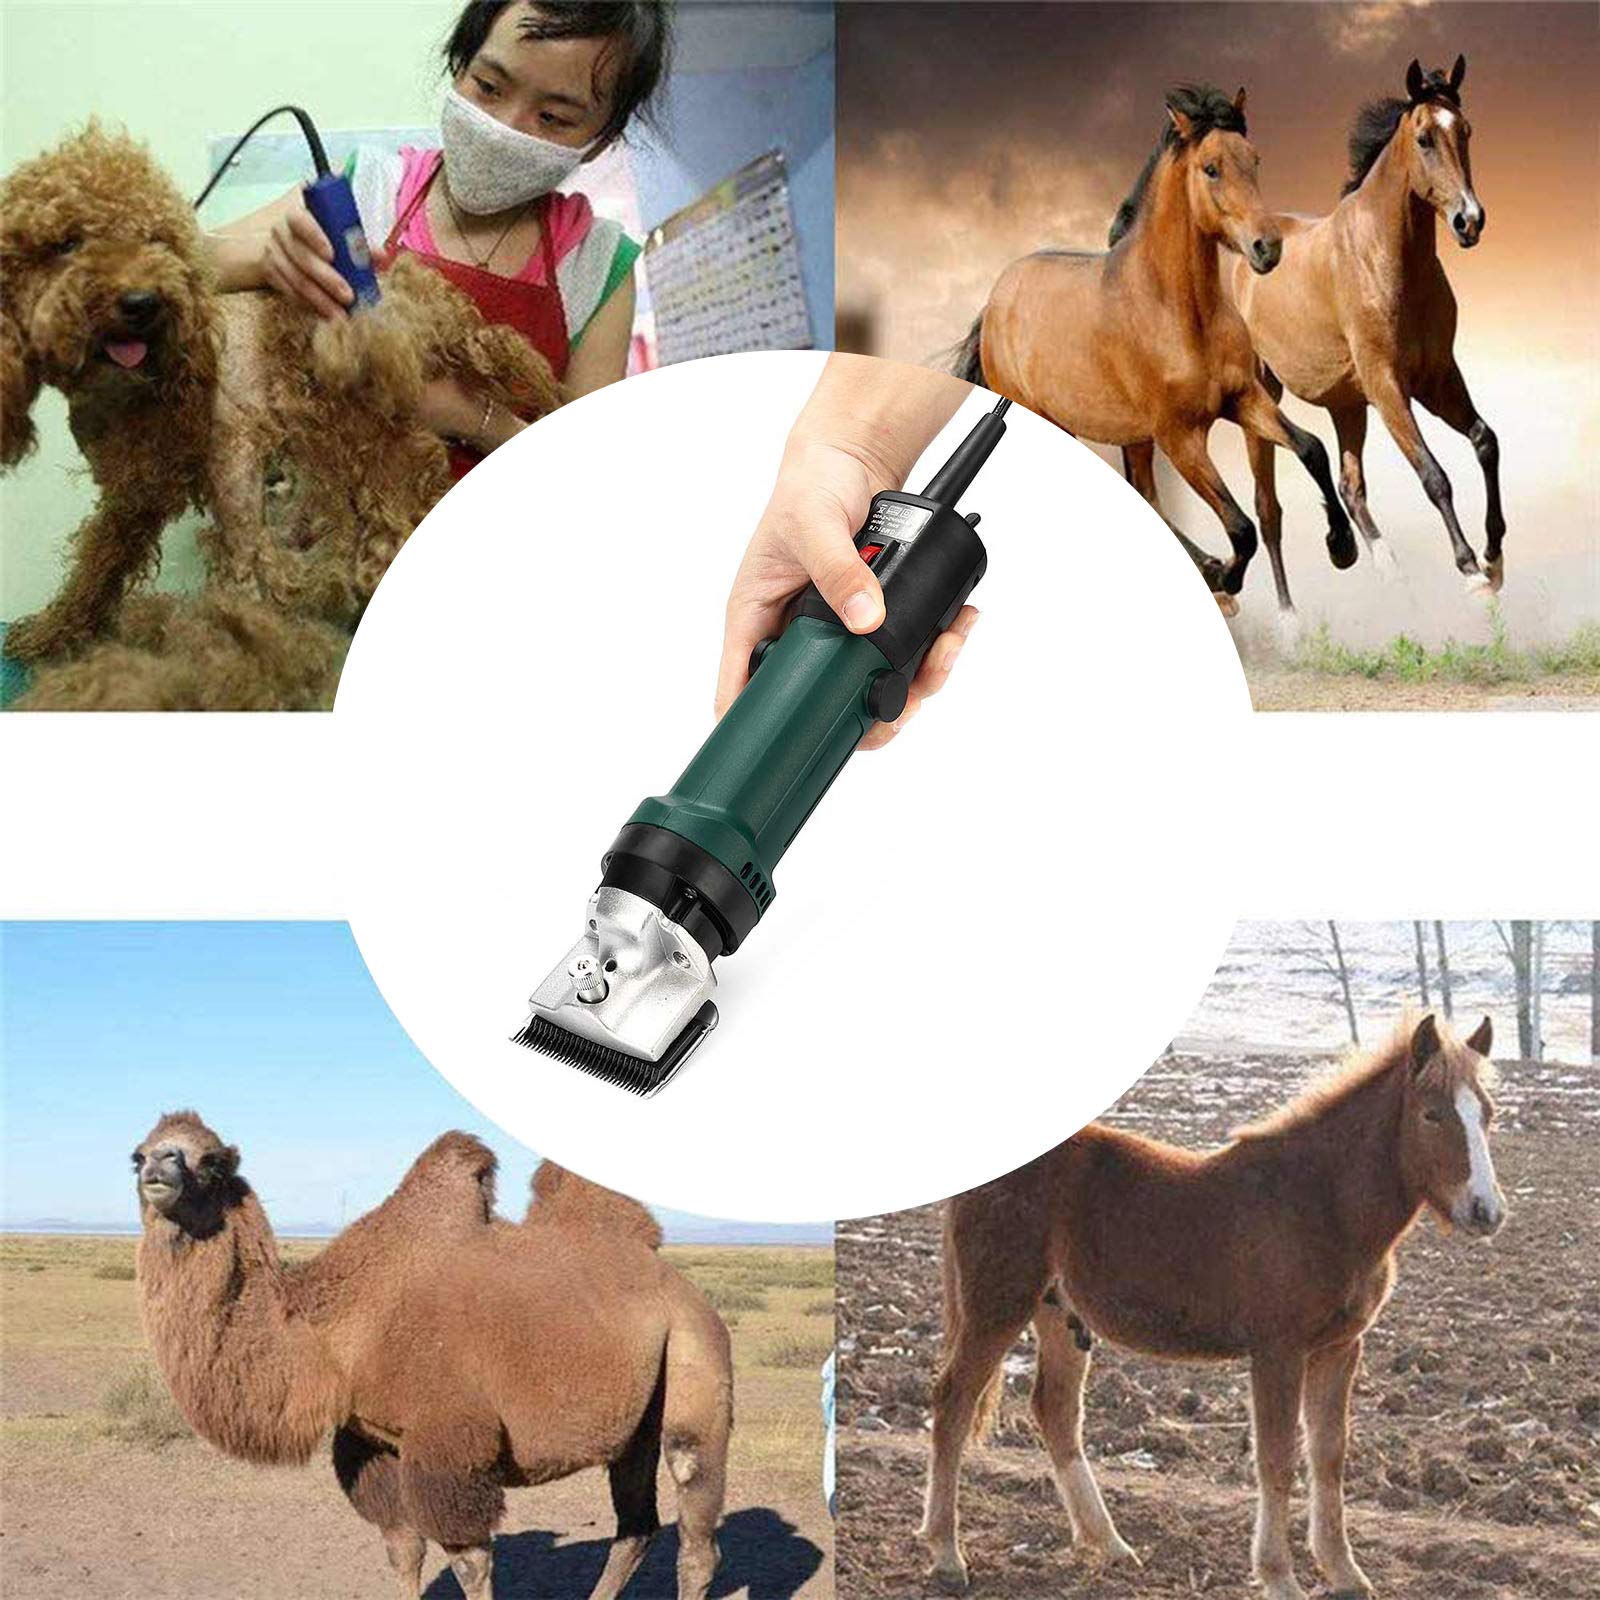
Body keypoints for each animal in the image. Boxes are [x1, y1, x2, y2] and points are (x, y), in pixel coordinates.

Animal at [919, 1013, 1506, 1600]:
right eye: (1431, 1114)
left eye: (1488, 1114)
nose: (1487, 1211)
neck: (1321, 1205)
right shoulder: (1278, 1351)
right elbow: (1277, 1459)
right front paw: (1279, 1576)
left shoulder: (1339, 1348)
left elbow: (1329, 1456)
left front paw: (1345, 1572)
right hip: (997, 1304)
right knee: (954, 1403)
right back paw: (947, 1555)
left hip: (1060, 1316)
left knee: (1056, 1411)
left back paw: (1111, 1545)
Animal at [955, 84, 1354, 617]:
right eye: (1211, 168)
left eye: (1255, 159)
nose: (1267, 248)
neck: (1178, 312)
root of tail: (996, 300)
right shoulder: (1180, 435)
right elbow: (1241, 526)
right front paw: (1227, 577)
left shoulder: (1244, 399)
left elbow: (1312, 449)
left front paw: (1342, 546)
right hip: (1064, 422)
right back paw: (1211, 572)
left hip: (1133, 436)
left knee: (1145, 495)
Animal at [1234, 57, 1502, 603]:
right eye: (1424, 138)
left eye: (1465, 131)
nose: (1469, 221)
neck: (1388, 258)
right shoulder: (1387, 385)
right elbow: (1433, 474)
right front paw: (1471, 573)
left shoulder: (1437, 377)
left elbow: (1485, 441)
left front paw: (1494, 556)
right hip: (1263, 398)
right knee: (1268, 510)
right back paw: (1291, 614)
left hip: (1347, 405)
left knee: (1350, 487)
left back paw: (1380, 567)